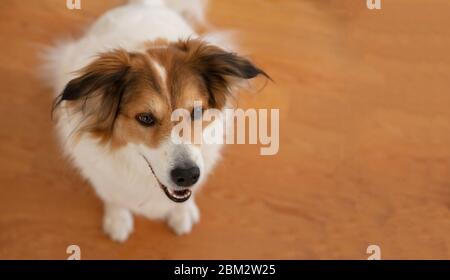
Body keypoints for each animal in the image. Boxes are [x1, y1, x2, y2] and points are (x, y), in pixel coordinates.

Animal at [45, 0, 266, 242]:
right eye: (145, 118)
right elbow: (113, 195)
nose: (188, 175)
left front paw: (183, 212)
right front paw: (117, 218)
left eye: (197, 111)